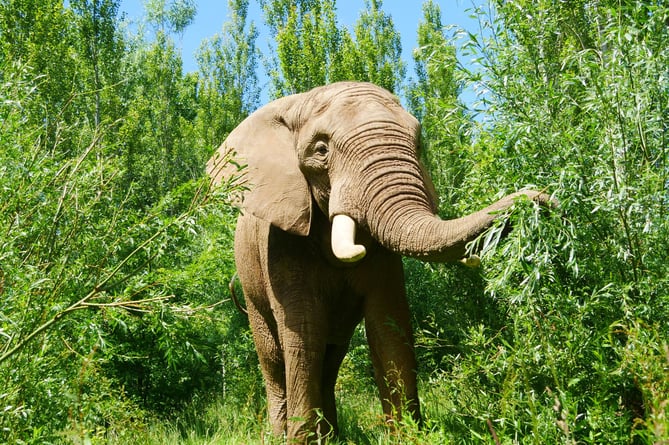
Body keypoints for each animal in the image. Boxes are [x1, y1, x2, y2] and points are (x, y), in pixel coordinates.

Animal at [206, 80, 552, 440]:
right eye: (321, 150)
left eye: (418, 143)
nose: (539, 199)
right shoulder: (281, 241)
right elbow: (304, 331)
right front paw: (302, 441)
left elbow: (389, 324)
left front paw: (407, 436)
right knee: (274, 359)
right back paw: (283, 434)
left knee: (332, 354)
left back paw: (333, 436)